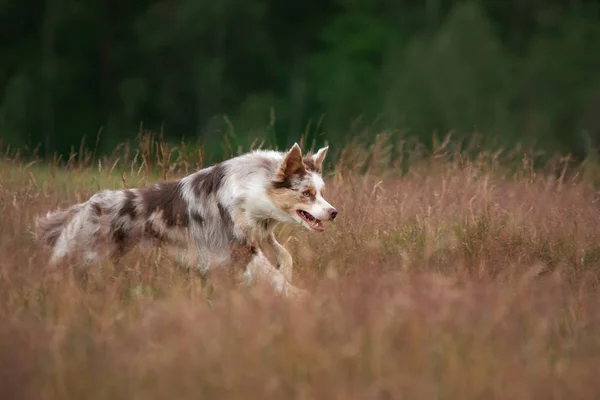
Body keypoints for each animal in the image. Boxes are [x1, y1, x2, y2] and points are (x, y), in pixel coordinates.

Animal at [35, 143, 338, 296]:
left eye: (321, 192)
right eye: (307, 193)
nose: (334, 212)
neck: (254, 190)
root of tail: (86, 206)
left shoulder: (259, 234)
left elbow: (285, 255)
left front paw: (288, 276)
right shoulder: (237, 246)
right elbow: (271, 274)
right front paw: (299, 295)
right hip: (83, 253)